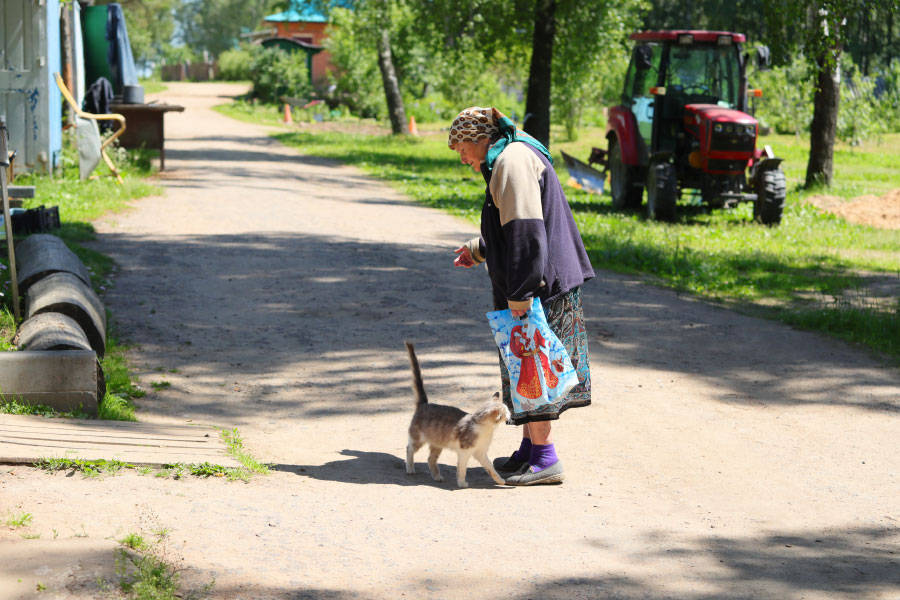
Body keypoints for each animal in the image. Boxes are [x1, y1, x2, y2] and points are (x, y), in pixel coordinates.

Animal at [404, 342, 510, 488]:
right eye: (506, 411)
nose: (511, 414)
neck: (487, 429)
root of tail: (424, 404)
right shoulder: (464, 452)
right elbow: (462, 469)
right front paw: (461, 483)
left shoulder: (481, 453)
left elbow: (491, 468)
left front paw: (500, 480)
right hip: (418, 439)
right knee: (409, 449)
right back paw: (410, 468)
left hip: (437, 444)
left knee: (430, 459)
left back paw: (437, 477)